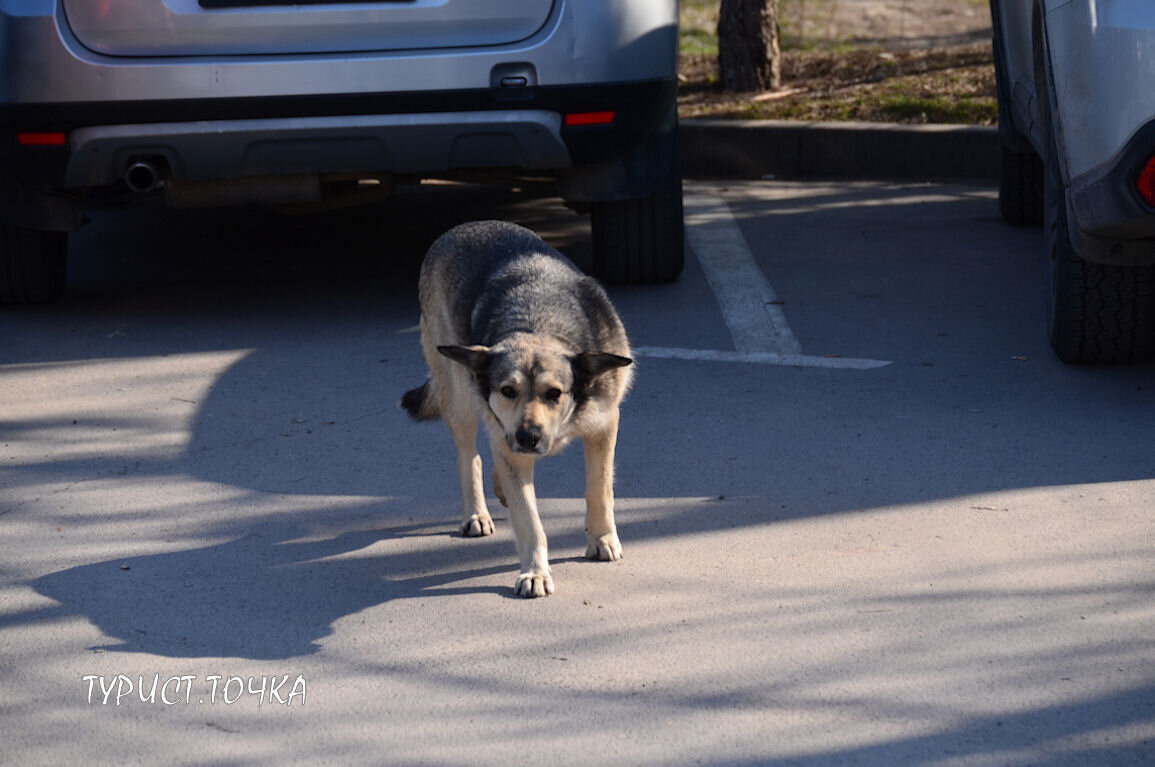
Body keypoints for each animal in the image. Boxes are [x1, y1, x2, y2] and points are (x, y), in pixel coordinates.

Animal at [399, 218, 632, 596]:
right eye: (508, 390)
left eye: (554, 393)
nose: (528, 437)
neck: (539, 322)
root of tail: (465, 226)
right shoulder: (510, 440)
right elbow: (529, 519)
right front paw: (535, 572)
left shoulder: (604, 424)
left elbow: (598, 488)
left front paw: (601, 538)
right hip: (461, 398)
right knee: (471, 455)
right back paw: (476, 512)